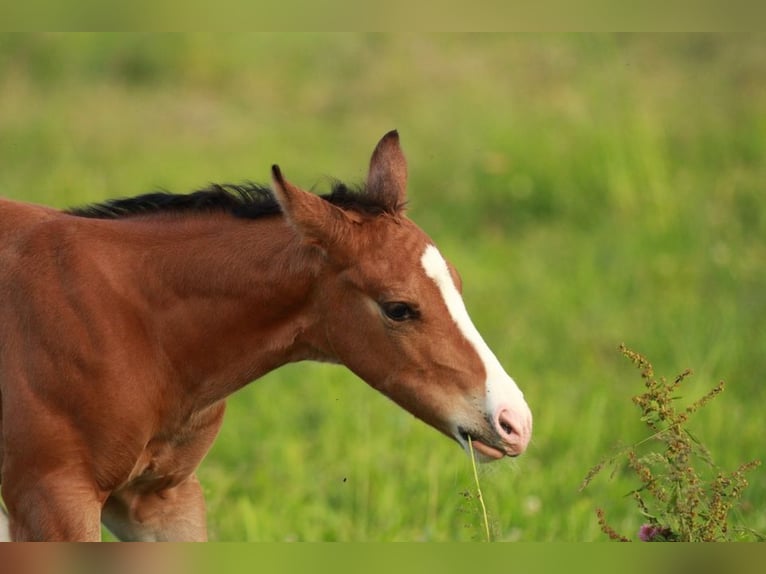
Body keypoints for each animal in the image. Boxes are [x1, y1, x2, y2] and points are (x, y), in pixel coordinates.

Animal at [0, 133, 536, 544]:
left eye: (457, 285)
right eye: (398, 308)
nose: (515, 423)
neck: (140, 328)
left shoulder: (160, 497)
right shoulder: (51, 499)